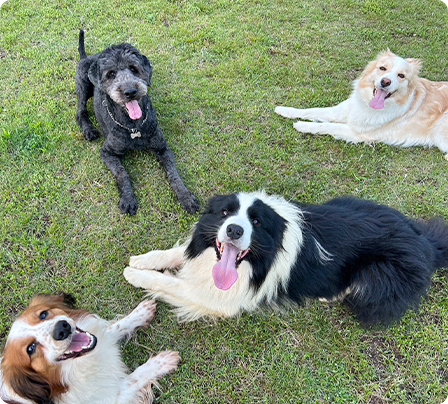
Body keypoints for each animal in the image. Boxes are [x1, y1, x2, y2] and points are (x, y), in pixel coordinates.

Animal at [1, 294, 180, 404]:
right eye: (30, 349)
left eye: (43, 314)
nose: (61, 328)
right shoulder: (111, 396)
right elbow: (136, 377)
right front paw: (161, 362)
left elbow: (115, 328)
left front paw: (140, 313)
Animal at [75, 30, 198, 215]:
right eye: (111, 74)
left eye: (134, 69)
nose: (130, 91)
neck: (133, 127)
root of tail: (87, 57)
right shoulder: (107, 152)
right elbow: (122, 173)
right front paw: (128, 199)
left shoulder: (162, 148)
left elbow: (174, 175)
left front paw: (185, 196)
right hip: (82, 86)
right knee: (80, 111)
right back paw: (89, 130)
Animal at [122, 191, 448, 326]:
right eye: (225, 213)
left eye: (256, 222)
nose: (235, 230)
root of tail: (426, 242)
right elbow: (179, 252)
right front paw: (142, 259)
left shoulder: (218, 298)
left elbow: (171, 284)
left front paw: (135, 275)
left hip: (377, 273)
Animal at [274, 49, 448, 159]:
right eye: (382, 68)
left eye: (401, 76)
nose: (385, 82)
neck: (367, 104)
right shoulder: (343, 111)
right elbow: (313, 110)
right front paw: (285, 110)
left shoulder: (359, 133)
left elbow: (327, 125)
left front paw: (302, 125)